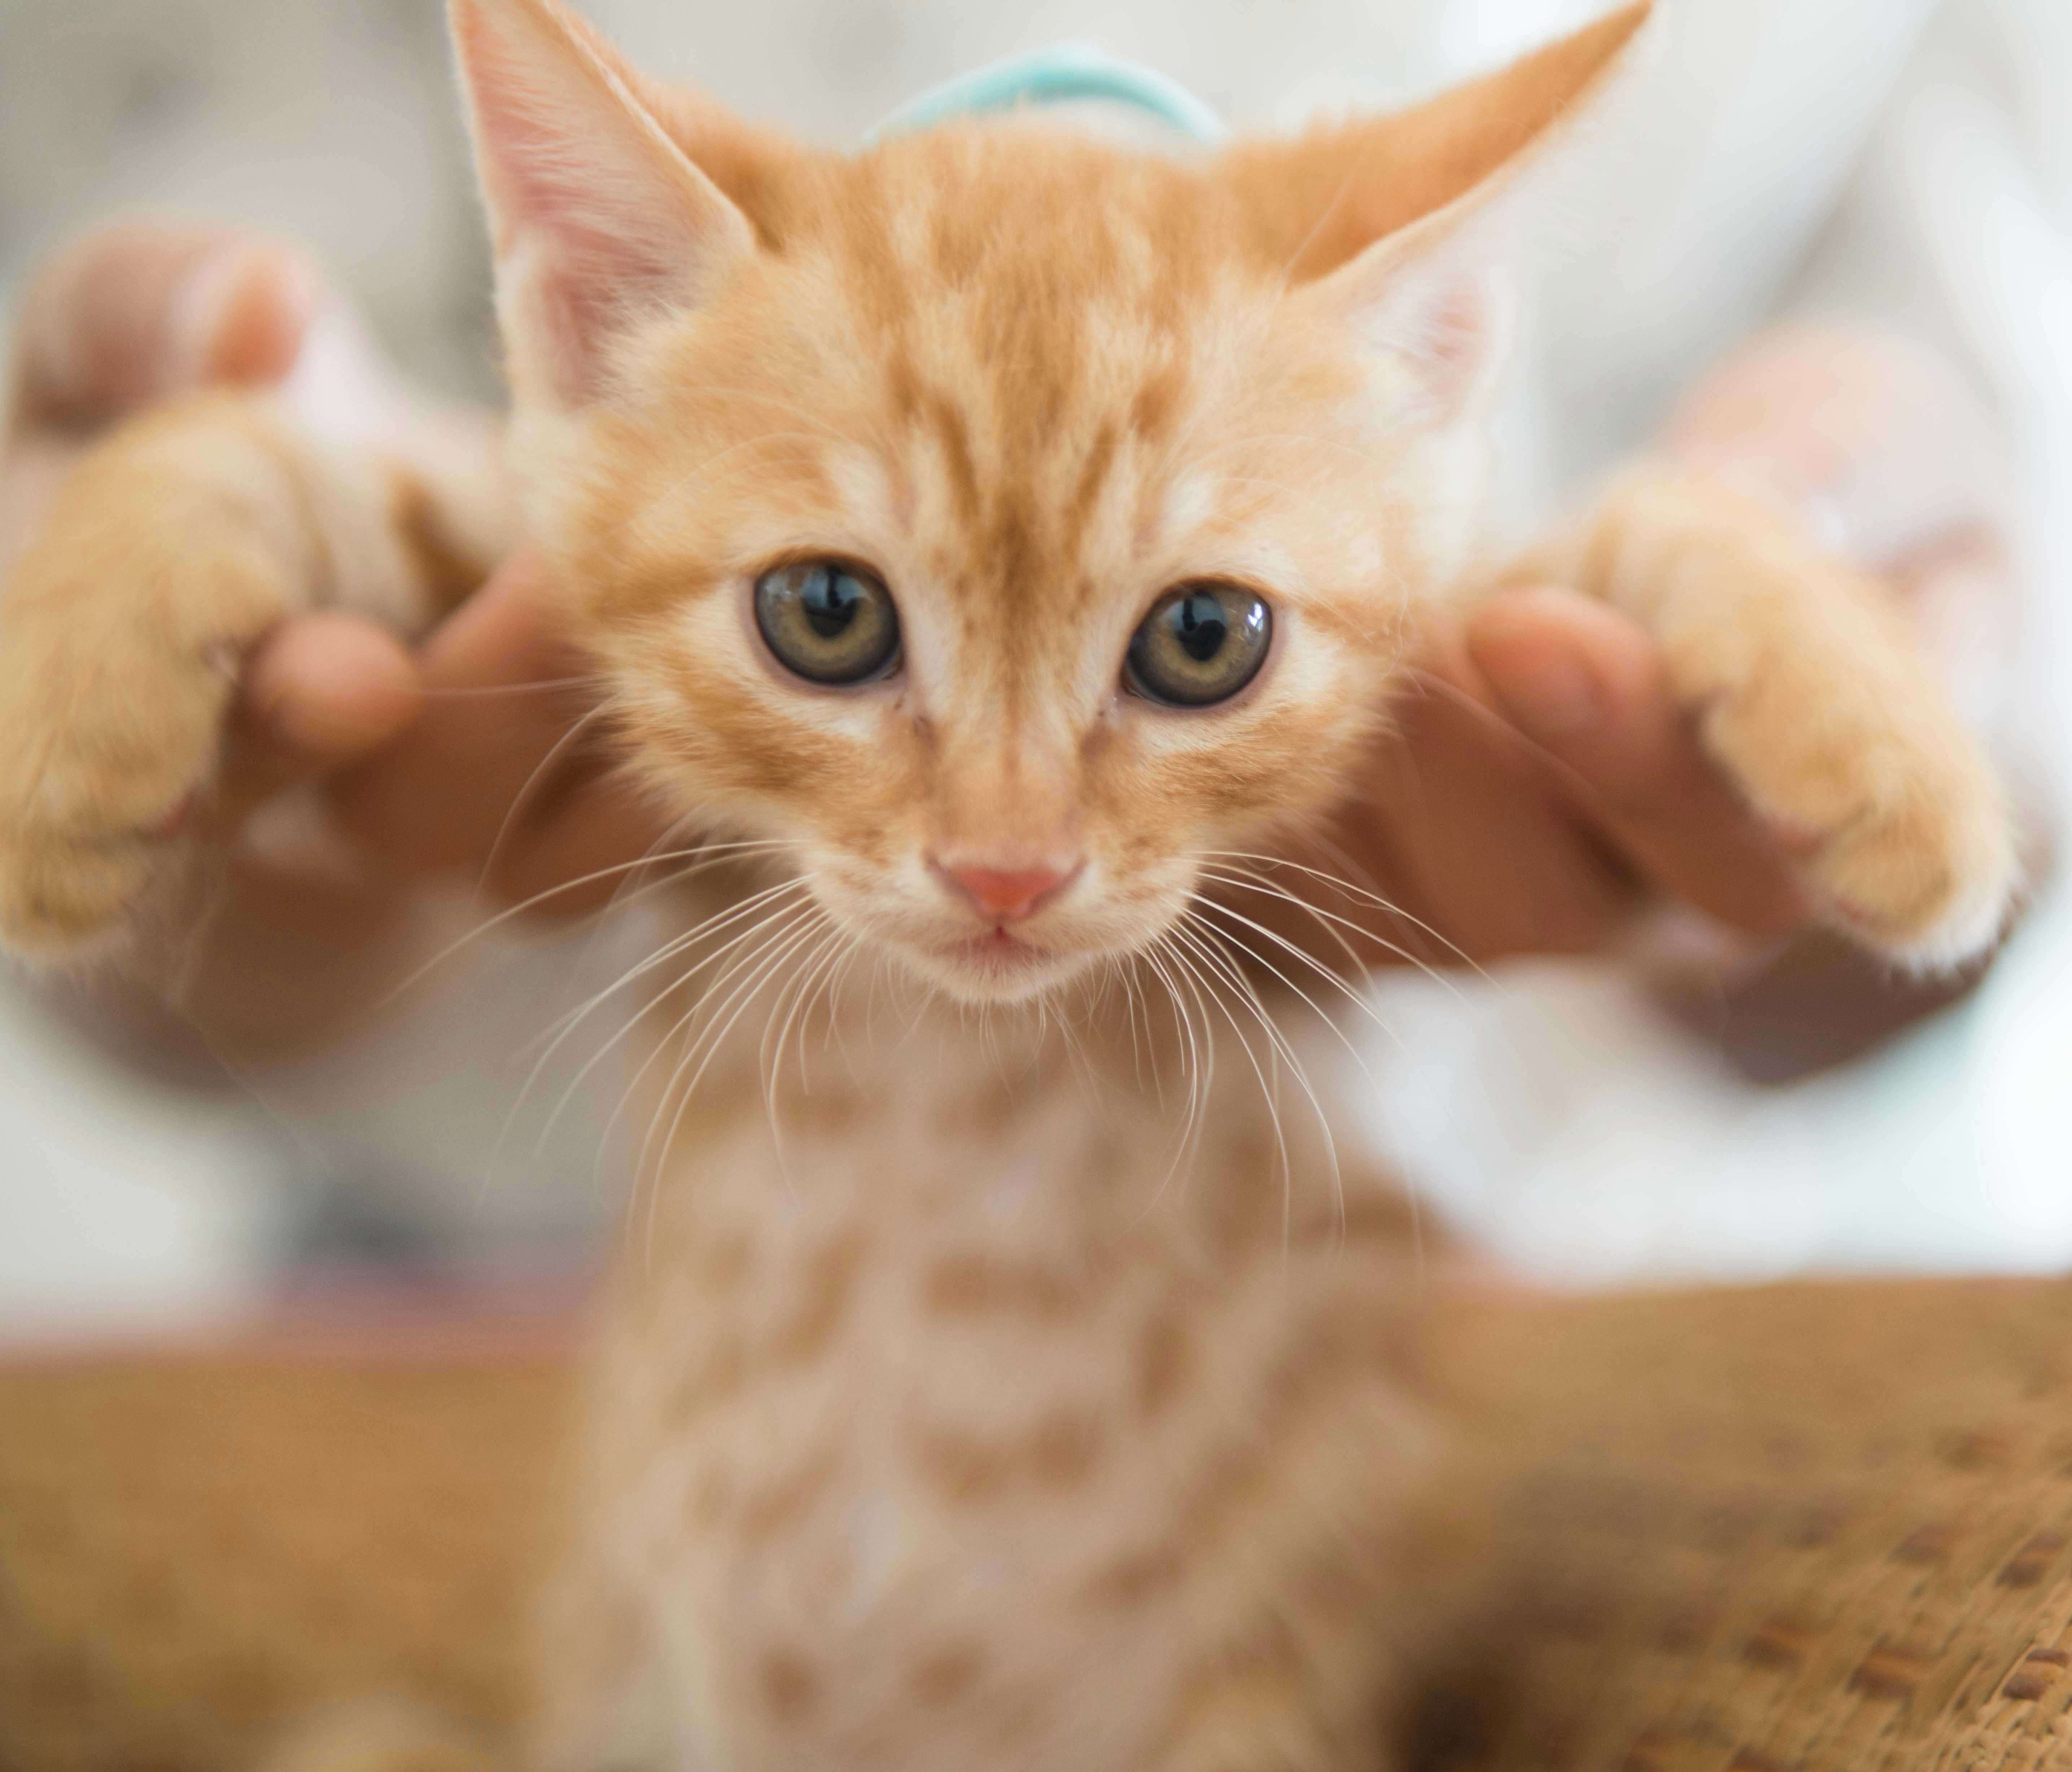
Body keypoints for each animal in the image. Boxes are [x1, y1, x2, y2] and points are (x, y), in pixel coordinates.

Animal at [0, 0, 2014, 1757]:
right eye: (825, 613)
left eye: (1202, 638)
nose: (1004, 867)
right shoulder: (516, 534)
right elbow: (291, 444)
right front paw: (68, 709)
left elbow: (1645, 513)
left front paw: (1892, 754)